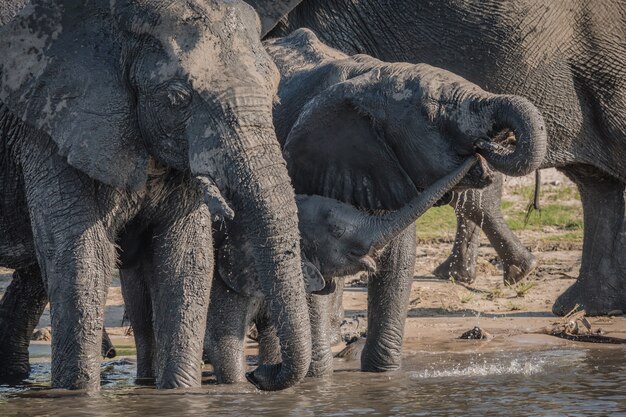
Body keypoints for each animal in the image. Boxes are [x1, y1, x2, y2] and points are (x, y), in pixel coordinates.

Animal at [0, 0, 310, 392]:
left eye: (274, 91)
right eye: (178, 98)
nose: (261, 375)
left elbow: (184, 259)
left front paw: (180, 392)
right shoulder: (51, 124)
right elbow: (83, 257)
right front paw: (78, 395)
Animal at [199, 28, 540, 380]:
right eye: (434, 112)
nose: (486, 145)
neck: (374, 80)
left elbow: (399, 258)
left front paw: (383, 375)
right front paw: (317, 380)